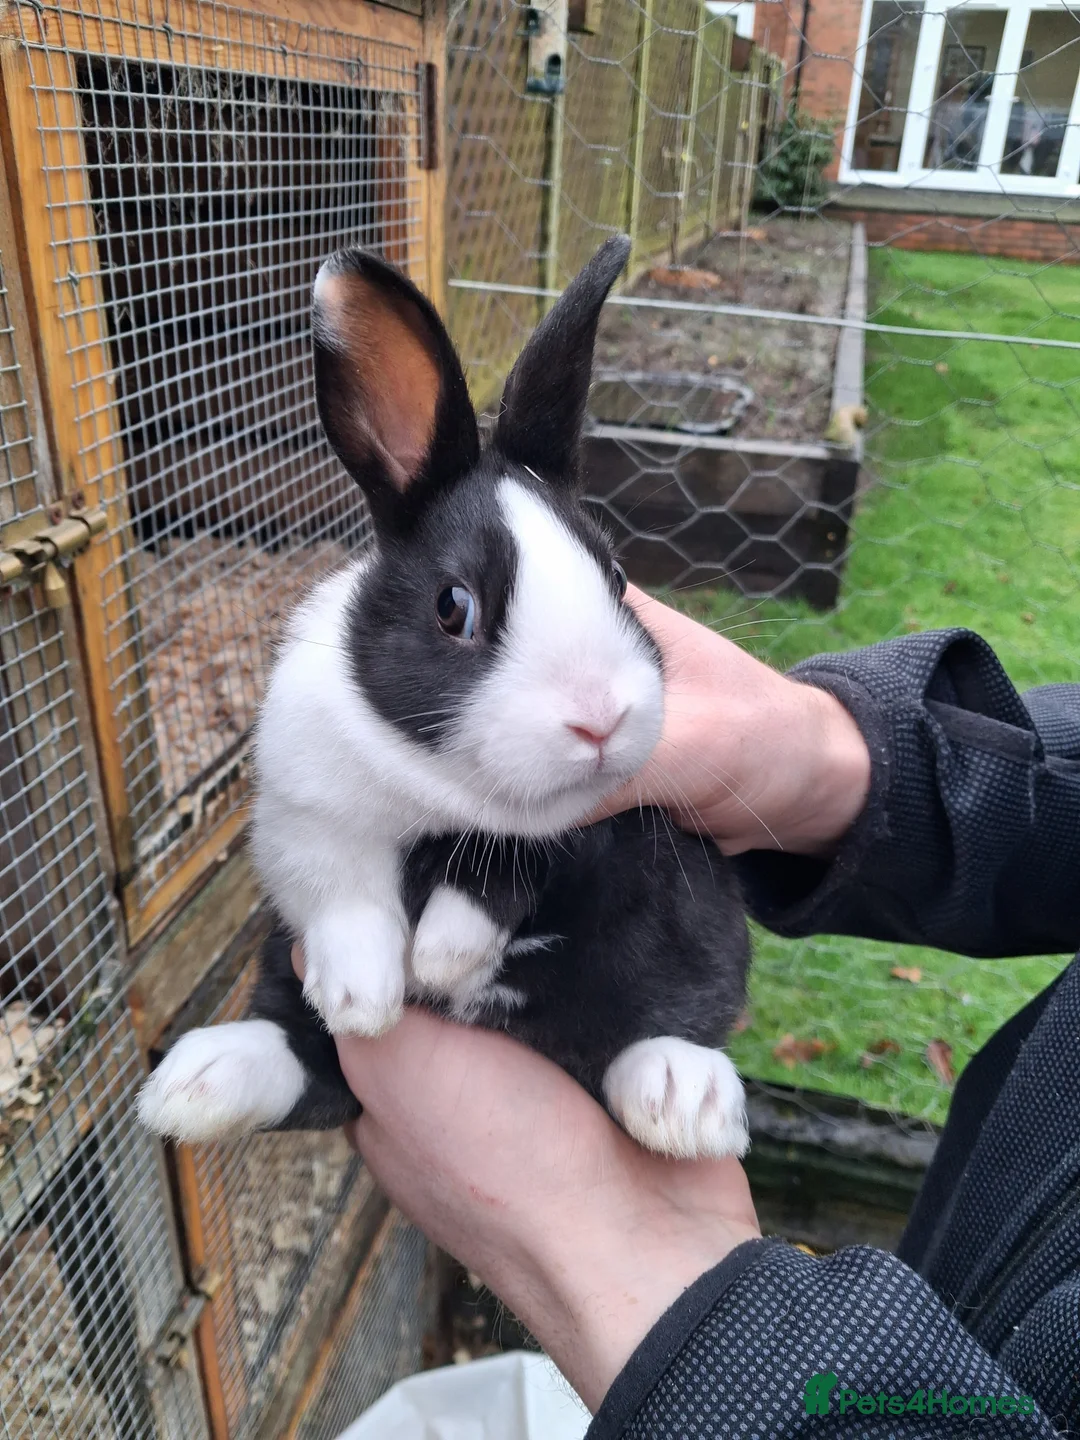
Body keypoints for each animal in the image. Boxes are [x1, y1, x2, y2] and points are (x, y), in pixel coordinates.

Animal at [138, 235, 751, 1160]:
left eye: (617, 578)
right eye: (453, 606)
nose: (601, 720)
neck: (437, 786)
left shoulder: (592, 833)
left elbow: (514, 865)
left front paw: (441, 957)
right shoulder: (296, 814)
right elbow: (338, 883)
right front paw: (364, 995)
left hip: (691, 933)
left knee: (647, 1033)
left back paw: (686, 1101)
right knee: (307, 1062)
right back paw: (192, 1087)